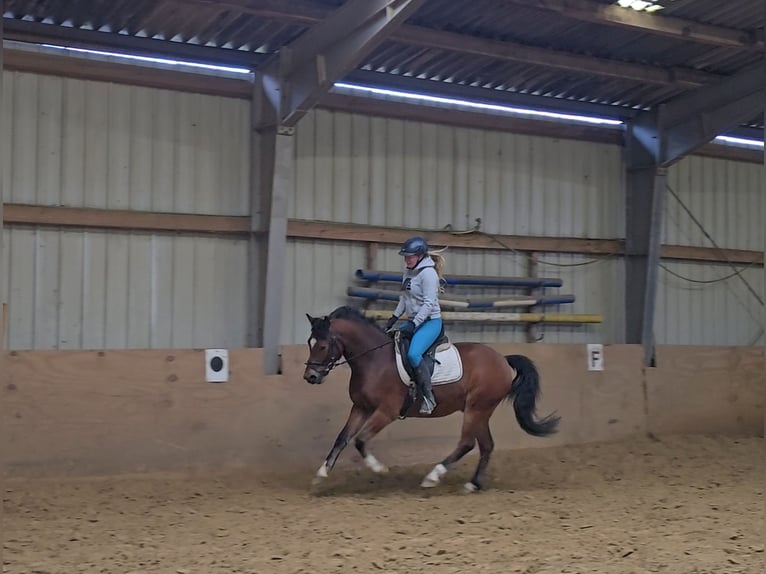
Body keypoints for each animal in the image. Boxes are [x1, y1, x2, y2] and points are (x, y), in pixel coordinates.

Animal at [304, 308, 560, 492]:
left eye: (323, 345)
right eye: (309, 343)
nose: (310, 376)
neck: (374, 360)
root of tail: (503, 359)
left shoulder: (386, 411)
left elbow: (360, 440)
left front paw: (379, 468)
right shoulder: (361, 407)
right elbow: (343, 437)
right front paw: (321, 473)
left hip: (477, 408)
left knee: (467, 443)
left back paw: (433, 476)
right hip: (479, 410)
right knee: (486, 445)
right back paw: (473, 484)